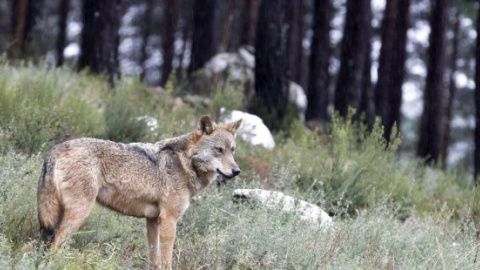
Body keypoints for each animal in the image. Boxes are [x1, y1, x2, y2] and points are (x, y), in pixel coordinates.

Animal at [36, 115, 244, 268]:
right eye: (219, 150)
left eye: (232, 150)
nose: (236, 171)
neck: (184, 163)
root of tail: (57, 148)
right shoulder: (169, 220)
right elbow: (166, 260)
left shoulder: (152, 220)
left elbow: (154, 259)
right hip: (78, 213)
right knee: (56, 244)